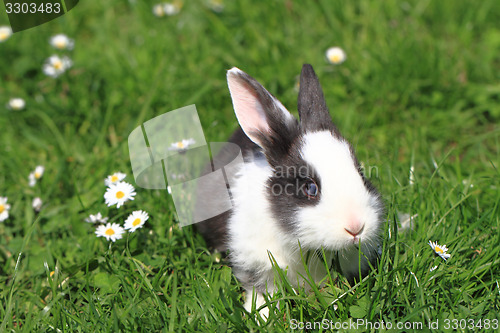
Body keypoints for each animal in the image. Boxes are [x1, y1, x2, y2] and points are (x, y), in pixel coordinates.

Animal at [197, 63, 384, 316]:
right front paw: (261, 317)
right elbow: (260, 292)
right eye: (310, 188)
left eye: (361, 174)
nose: (356, 228)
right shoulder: (253, 261)